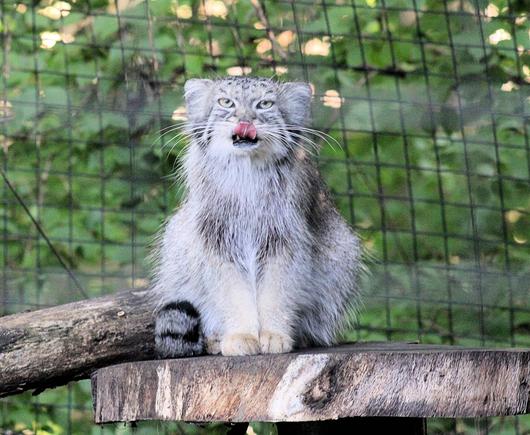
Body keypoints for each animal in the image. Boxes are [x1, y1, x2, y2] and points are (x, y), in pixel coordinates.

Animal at [151, 77, 360, 358]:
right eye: (226, 102)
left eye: (265, 104)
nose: (245, 120)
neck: (246, 172)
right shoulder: (219, 240)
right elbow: (232, 293)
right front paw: (240, 335)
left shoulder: (285, 241)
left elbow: (277, 290)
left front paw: (274, 335)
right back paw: (215, 339)